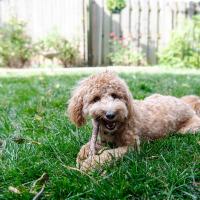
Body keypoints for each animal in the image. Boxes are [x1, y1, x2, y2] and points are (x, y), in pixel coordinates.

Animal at [67, 71, 200, 170]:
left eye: (115, 95)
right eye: (95, 99)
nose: (110, 114)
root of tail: (185, 103)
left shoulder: (132, 147)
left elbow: (109, 154)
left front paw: (91, 164)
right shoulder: (104, 141)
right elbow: (87, 145)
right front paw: (82, 155)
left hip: (188, 129)